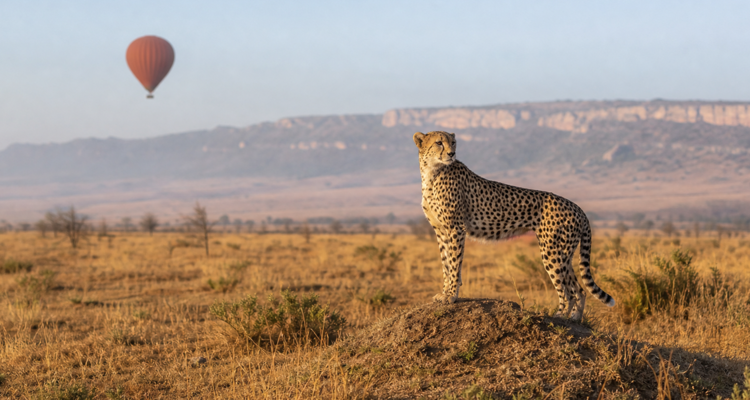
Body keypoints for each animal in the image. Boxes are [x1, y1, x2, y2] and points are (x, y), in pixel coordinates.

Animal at [414, 130, 615, 321]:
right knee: (579, 289)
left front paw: (451, 296)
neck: (432, 172)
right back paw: (575, 319)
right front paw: (445, 293)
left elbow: (454, 264)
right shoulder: (441, 231)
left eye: (453, 142)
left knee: (567, 291)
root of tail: (577, 207)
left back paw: (559, 316)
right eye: (439, 142)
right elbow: (445, 264)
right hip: (565, 253)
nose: (451, 153)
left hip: (552, 252)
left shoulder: (455, 229)